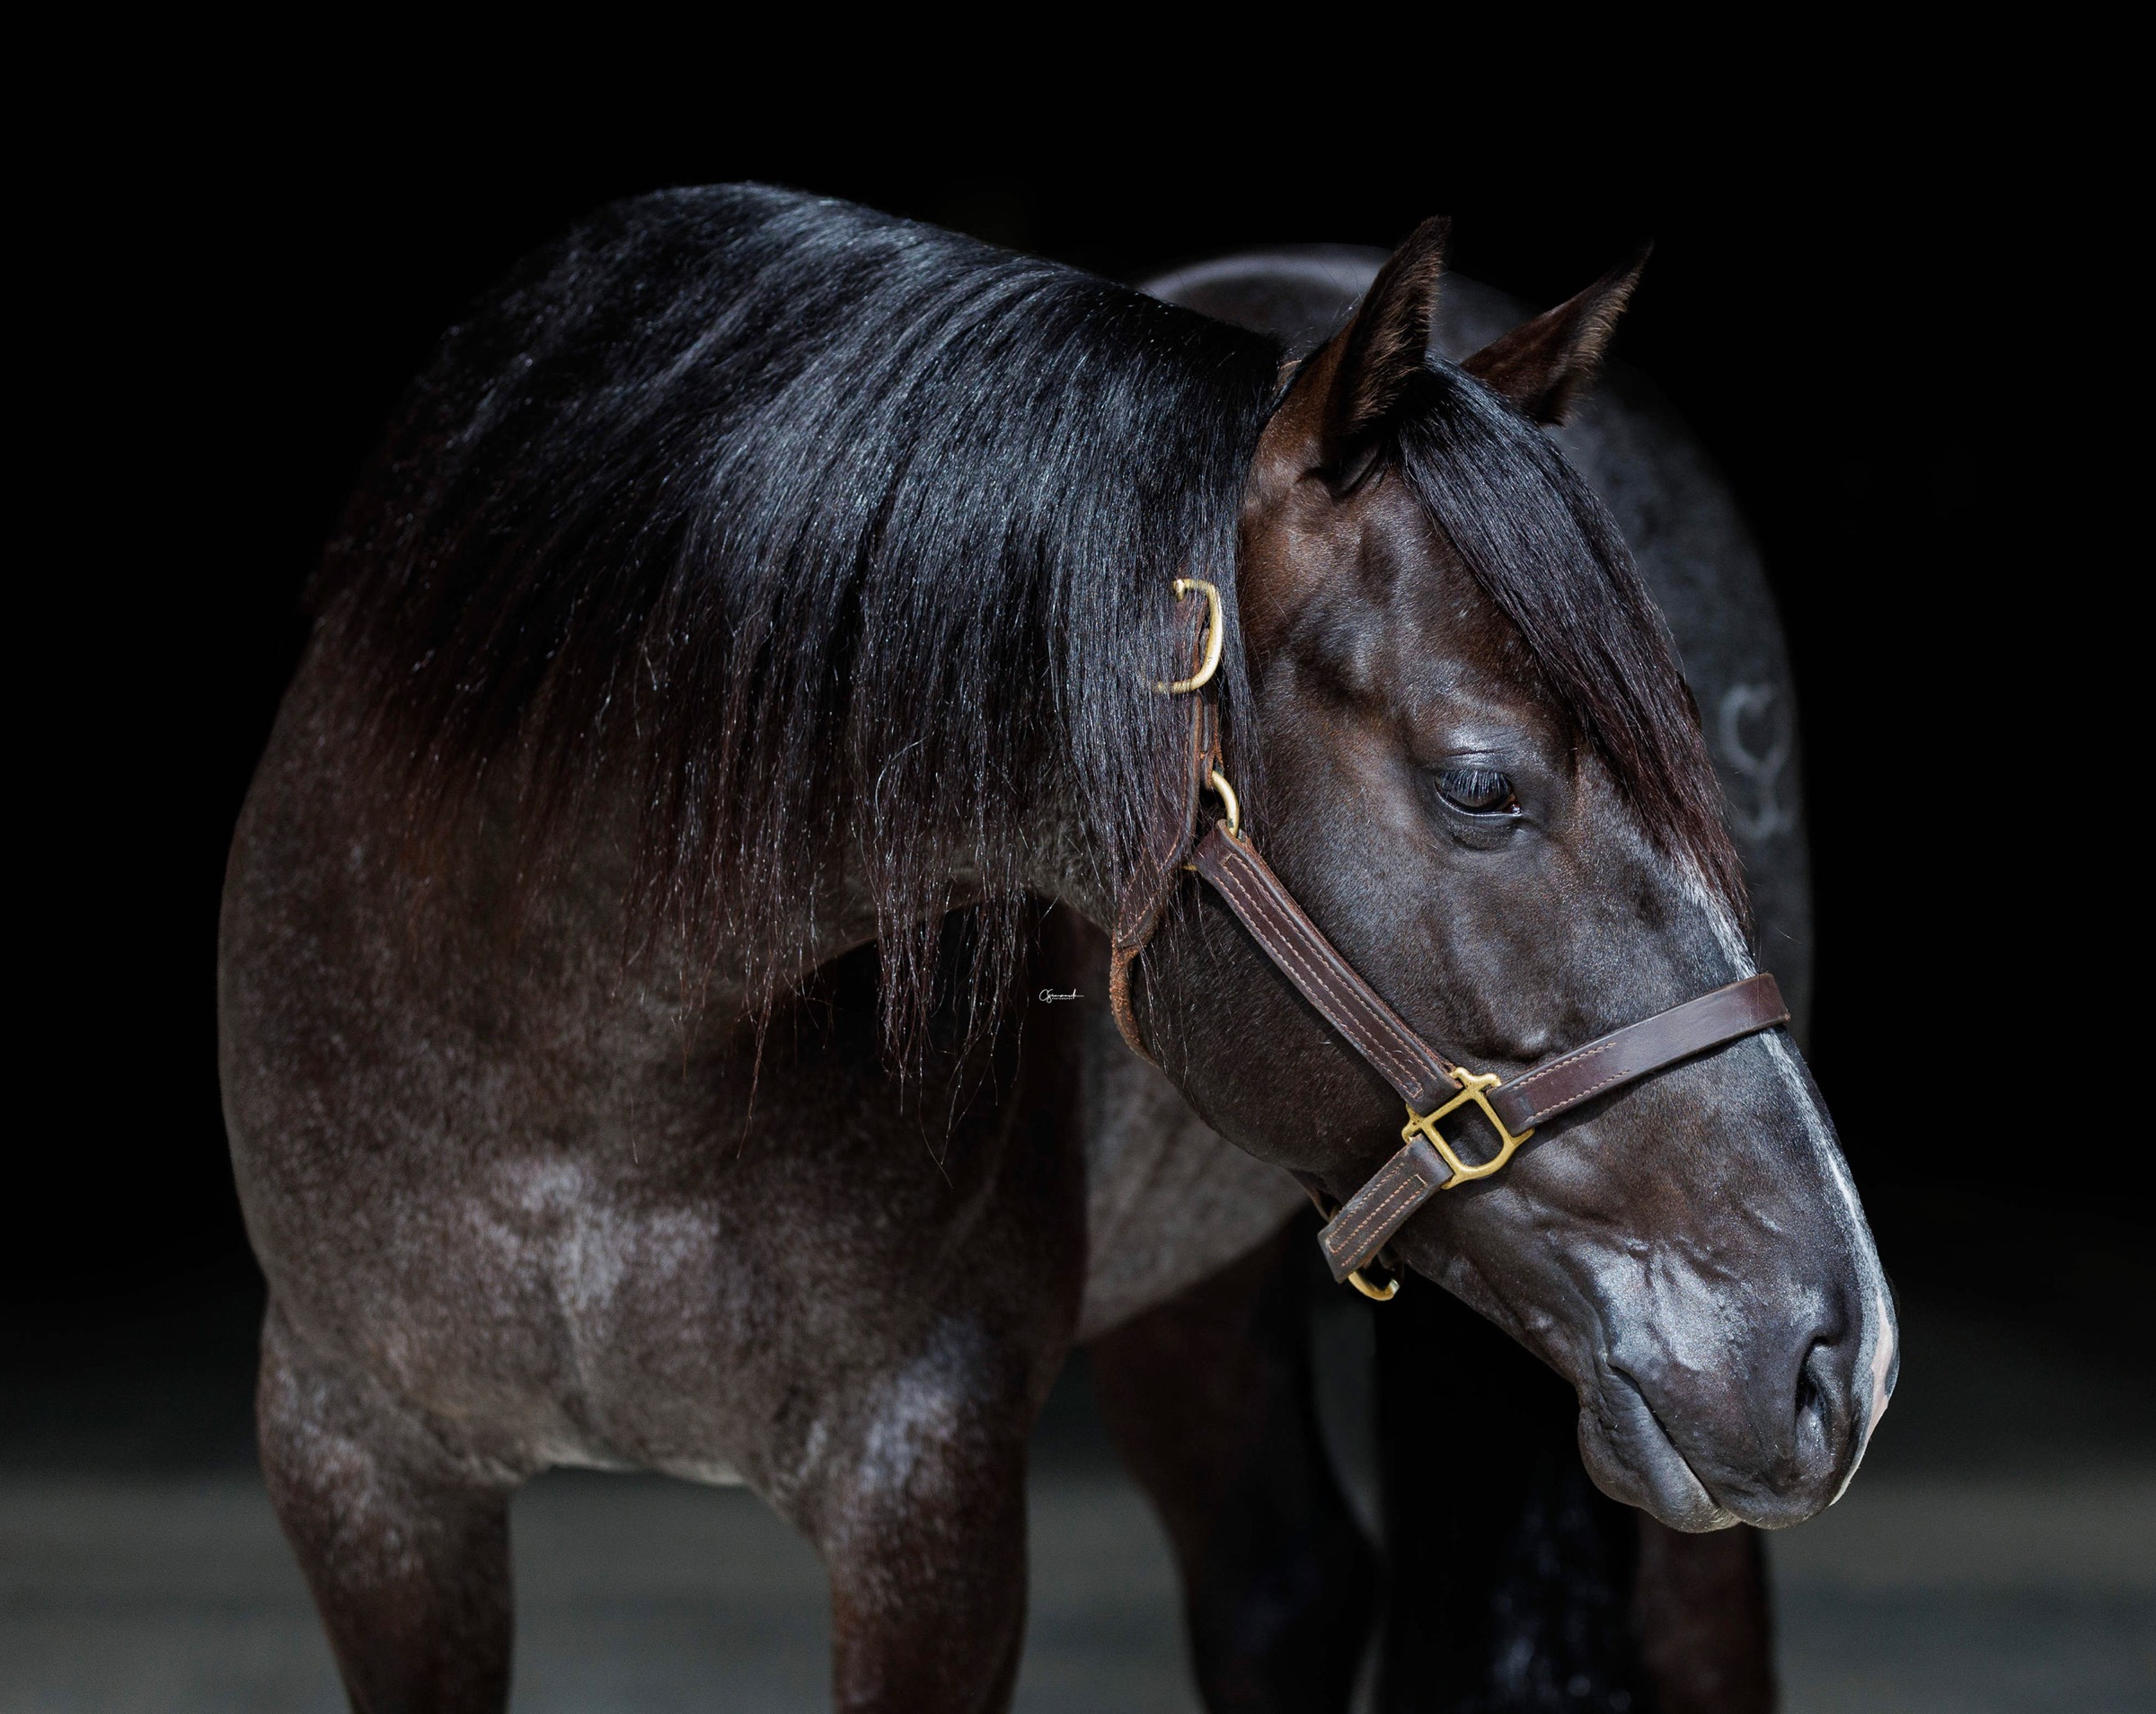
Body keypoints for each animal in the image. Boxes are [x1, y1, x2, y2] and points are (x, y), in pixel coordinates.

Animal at [219, 186, 1896, 1713]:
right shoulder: (360, 1471)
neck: (576, 1043)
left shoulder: (929, 1487)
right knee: (1284, 1584)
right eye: (1482, 784)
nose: (1842, 1349)